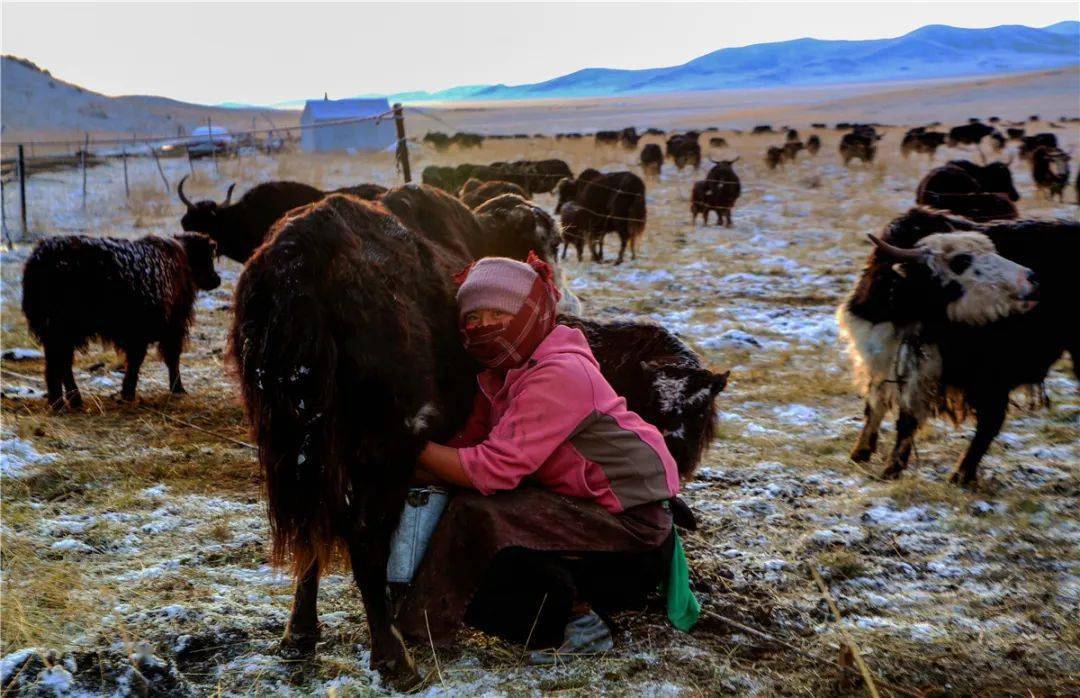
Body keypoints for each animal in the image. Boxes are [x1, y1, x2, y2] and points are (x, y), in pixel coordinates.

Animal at [23, 235, 220, 410]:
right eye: (209, 258)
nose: (217, 279)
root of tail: (40, 257)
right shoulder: (169, 327)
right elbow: (165, 359)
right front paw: (175, 389)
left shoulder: (139, 334)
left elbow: (137, 360)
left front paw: (128, 393)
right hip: (61, 329)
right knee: (57, 364)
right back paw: (60, 404)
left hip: (58, 331)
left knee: (61, 364)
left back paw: (72, 400)